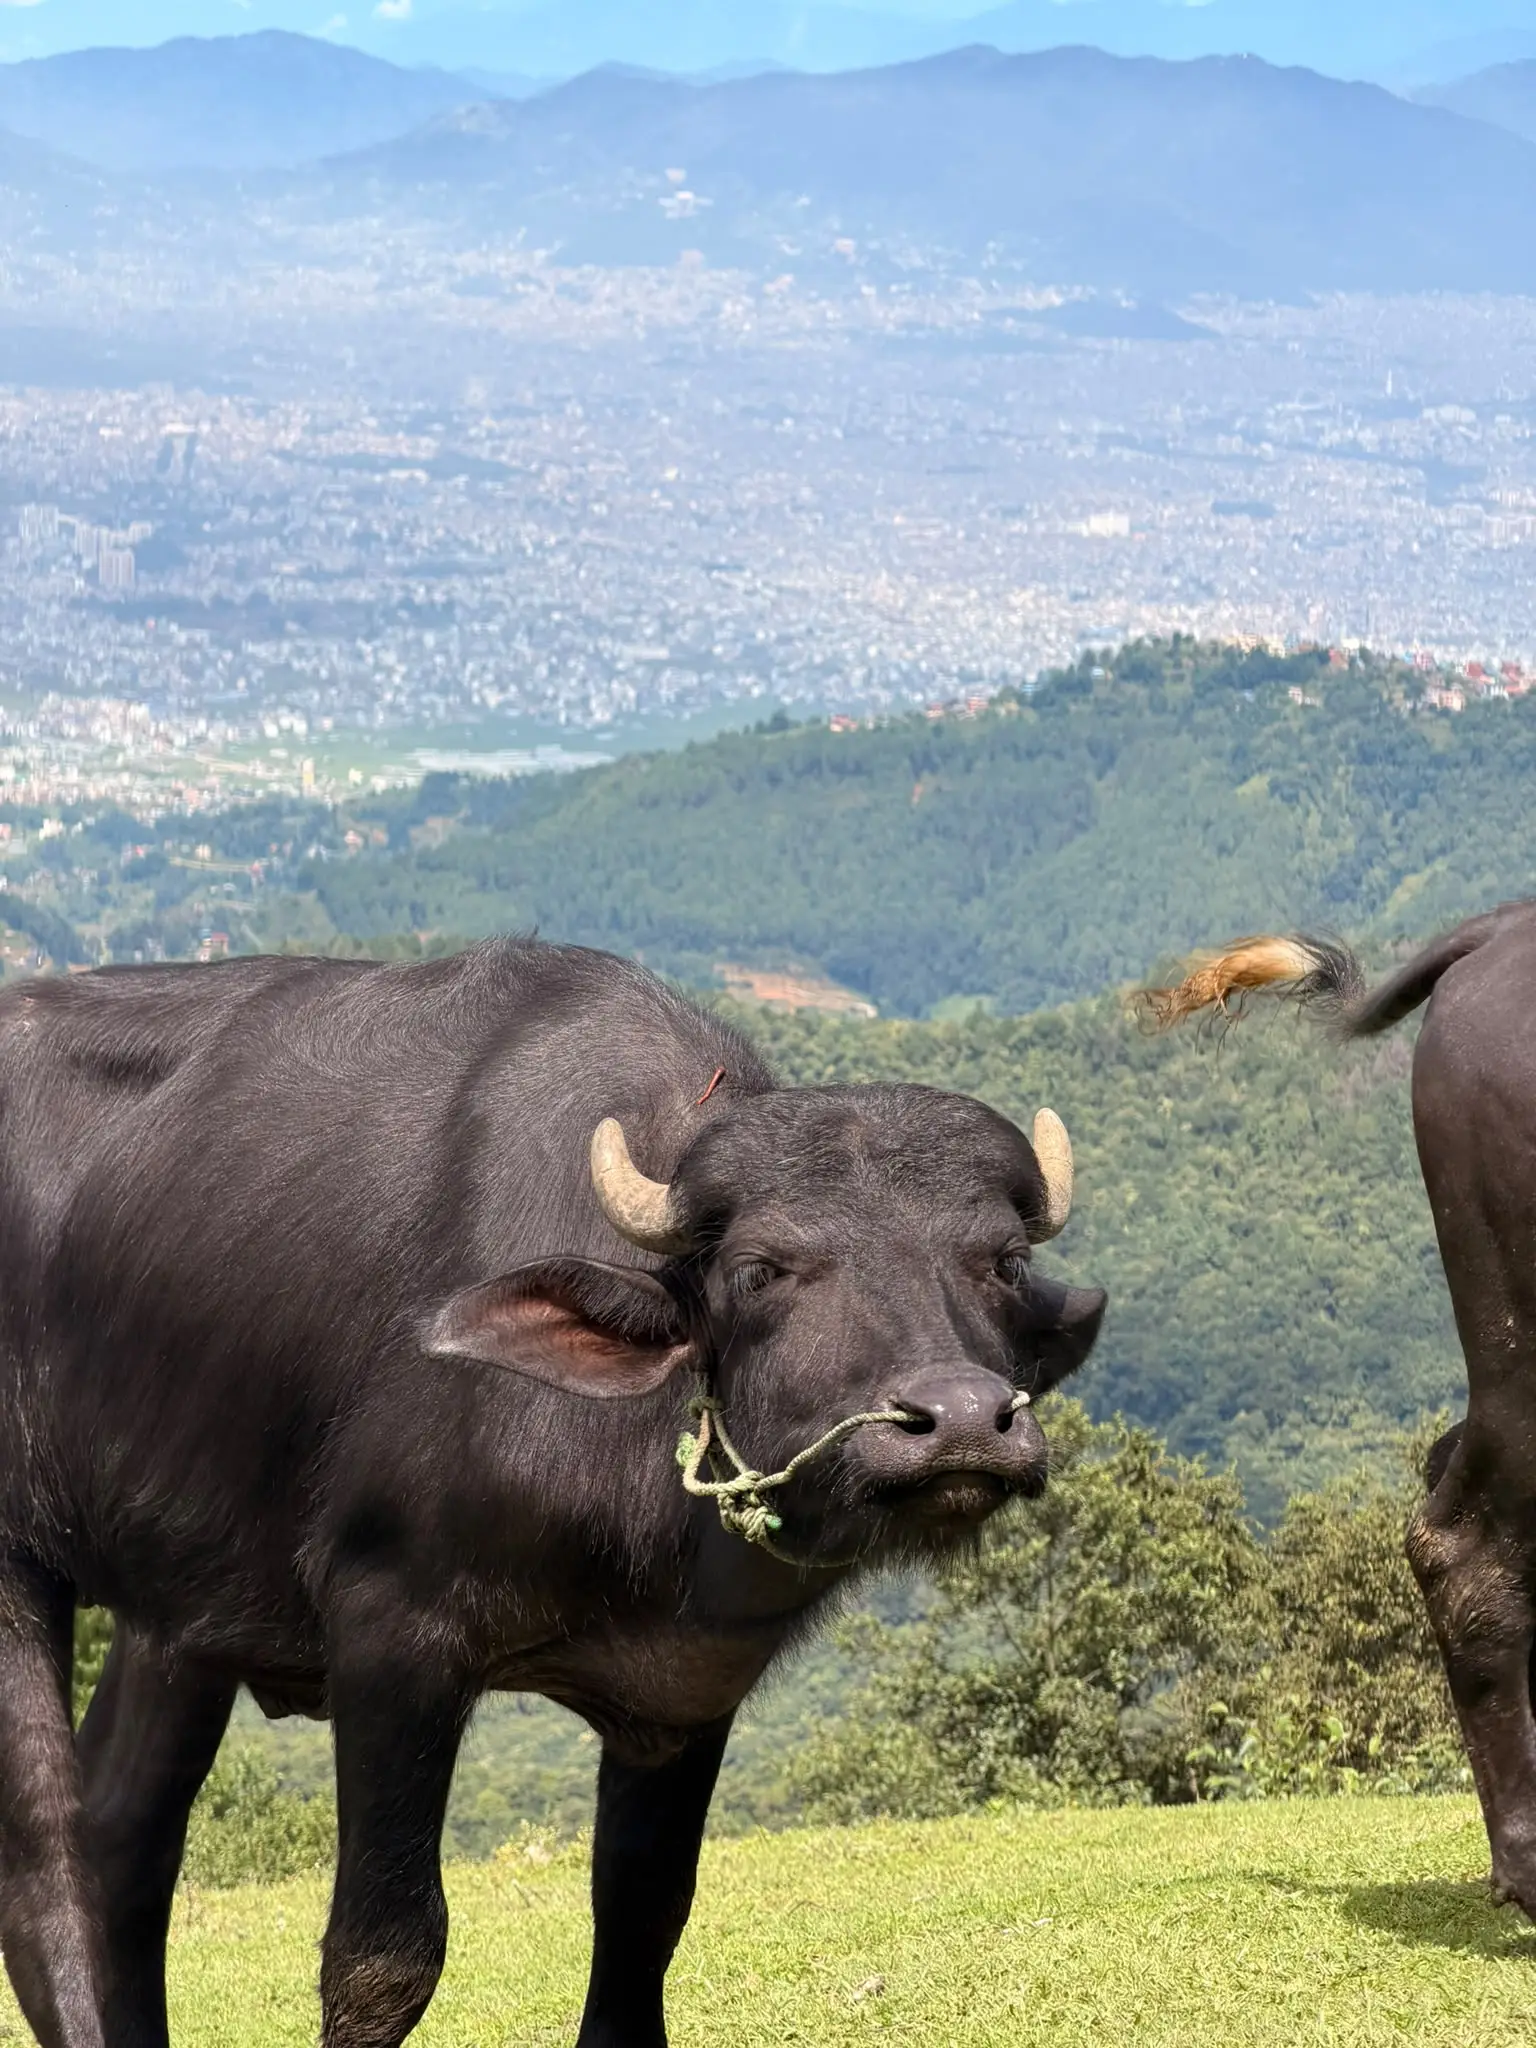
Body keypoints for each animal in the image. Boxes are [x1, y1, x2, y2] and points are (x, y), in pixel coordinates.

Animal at [0, 940, 1106, 2047]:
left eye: (1005, 1261)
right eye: (761, 1269)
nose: (960, 1420)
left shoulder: (686, 1691)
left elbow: (644, 1921)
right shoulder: (390, 1634)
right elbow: (382, 1954)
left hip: (182, 1608)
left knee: (124, 1832)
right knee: (45, 1856)